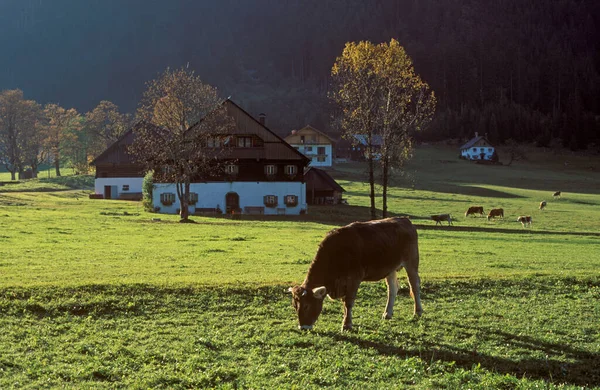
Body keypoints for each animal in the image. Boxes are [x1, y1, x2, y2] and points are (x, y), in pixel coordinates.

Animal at [288, 218, 422, 330]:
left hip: (411, 262)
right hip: (390, 268)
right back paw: (387, 313)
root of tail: (404, 220)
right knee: (392, 288)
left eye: (306, 306)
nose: (303, 327)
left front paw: (347, 325)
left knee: (414, 286)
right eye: (295, 306)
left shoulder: (354, 278)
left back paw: (418, 311)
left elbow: (348, 302)